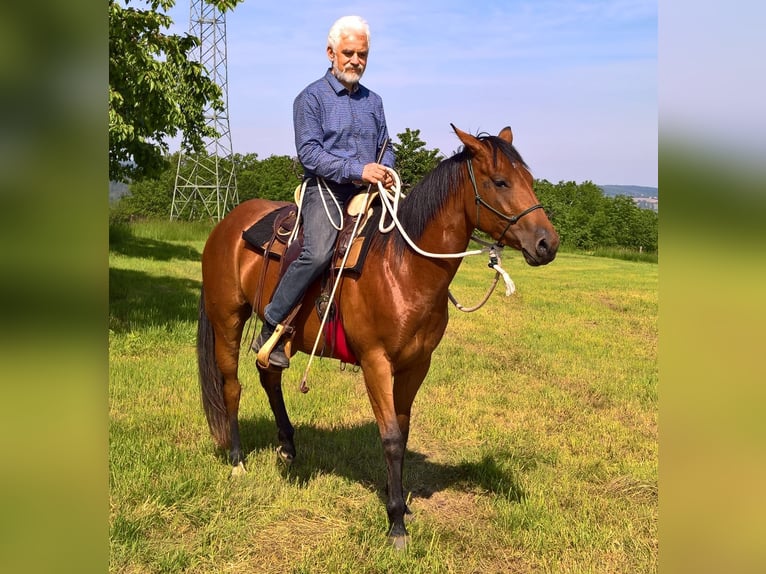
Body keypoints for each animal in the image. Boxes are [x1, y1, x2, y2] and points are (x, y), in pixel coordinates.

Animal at [197, 125, 559, 548]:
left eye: (530, 180)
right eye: (500, 181)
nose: (547, 244)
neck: (402, 267)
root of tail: (227, 223)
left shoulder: (416, 365)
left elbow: (402, 432)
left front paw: (400, 502)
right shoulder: (375, 362)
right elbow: (389, 437)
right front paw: (396, 523)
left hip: (279, 340)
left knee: (269, 374)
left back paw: (287, 447)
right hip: (227, 319)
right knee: (231, 385)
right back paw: (237, 461)